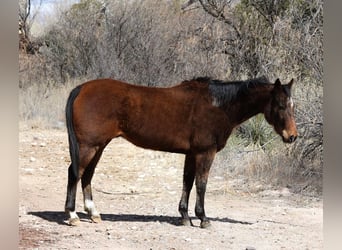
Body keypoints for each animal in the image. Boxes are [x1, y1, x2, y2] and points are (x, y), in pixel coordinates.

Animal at [63, 75, 296, 227]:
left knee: (87, 175)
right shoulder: (205, 153)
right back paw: (73, 215)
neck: (218, 106)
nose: (292, 136)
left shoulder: (191, 154)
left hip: (99, 146)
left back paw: (93, 213)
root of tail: (81, 88)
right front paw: (203, 218)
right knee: (75, 174)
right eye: (281, 105)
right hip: (88, 146)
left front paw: (184, 216)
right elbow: (201, 184)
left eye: (292, 105)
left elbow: (187, 182)